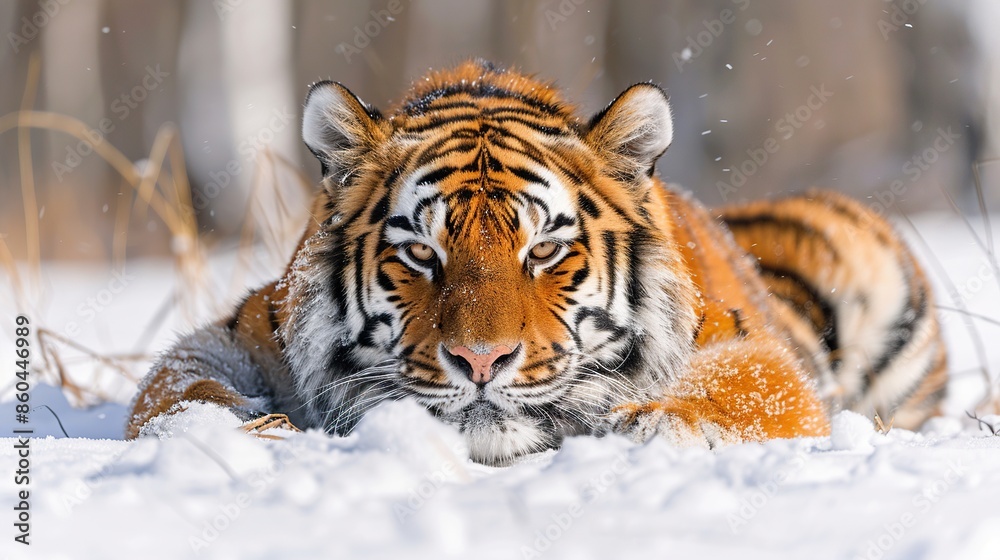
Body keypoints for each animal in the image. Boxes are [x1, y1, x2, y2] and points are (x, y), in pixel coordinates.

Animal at [126, 60, 947, 466]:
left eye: (545, 249)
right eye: (421, 252)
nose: (481, 362)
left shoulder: (740, 341)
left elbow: (746, 389)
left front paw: (656, 424)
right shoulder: (242, 328)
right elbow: (173, 390)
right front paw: (238, 433)